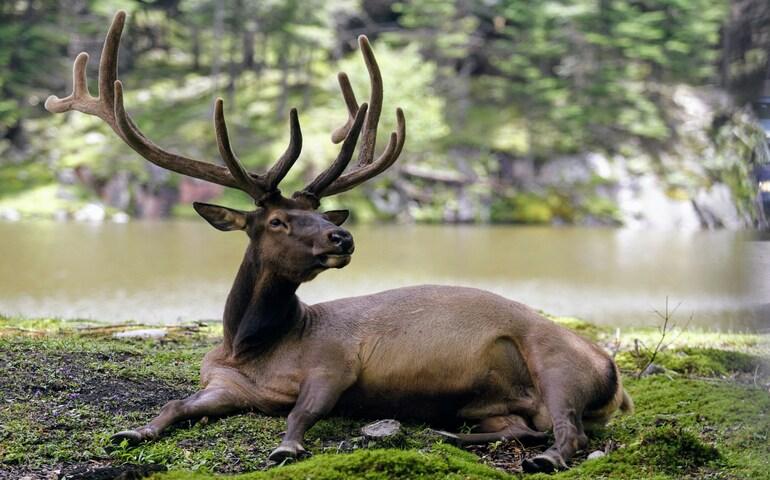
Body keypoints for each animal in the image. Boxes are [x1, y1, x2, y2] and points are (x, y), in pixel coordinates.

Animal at [45, 11, 632, 473]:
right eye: (277, 221)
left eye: (316, 213)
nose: (342, 234)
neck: (253, 348)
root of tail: (615, 377)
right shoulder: (222, 384)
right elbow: (173, 407)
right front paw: (133, 431)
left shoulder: (335, 363)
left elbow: (303, 411)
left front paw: (287, 448)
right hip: (491, 403)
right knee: (521, 424)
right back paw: (448, 432)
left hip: (559, 365)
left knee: (570, 429)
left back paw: (545, 456)